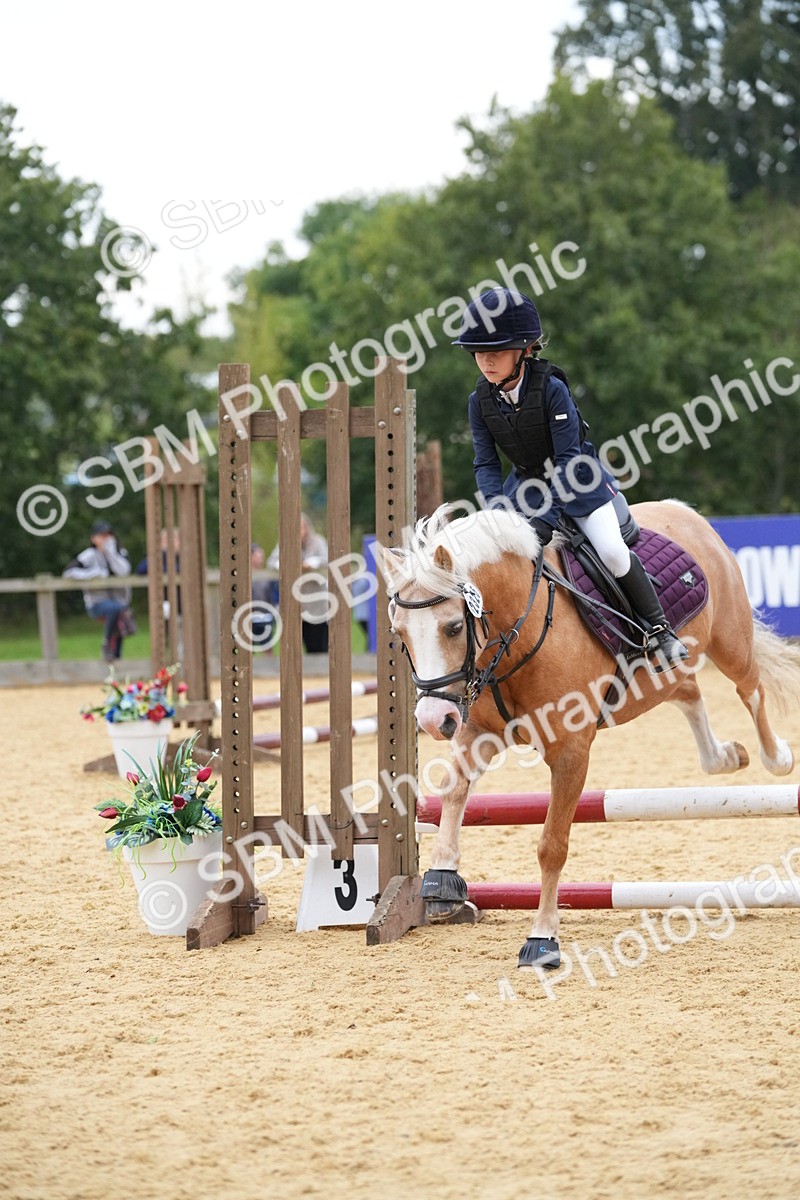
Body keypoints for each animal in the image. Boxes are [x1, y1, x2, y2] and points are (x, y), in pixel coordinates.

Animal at [383, 500, 800, 970]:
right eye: (399, 634)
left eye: (454, 626)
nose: (432, 720)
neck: (518, 630)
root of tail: (683, 511)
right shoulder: (476, 732)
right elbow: (453, 790)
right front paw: (442, 880)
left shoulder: (570, 752)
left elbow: (552, 845)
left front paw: (543, 938)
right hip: (659, 679)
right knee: (689, 691)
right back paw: (725, 756)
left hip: (730, 642)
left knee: (750, 689)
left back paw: (776, 757)